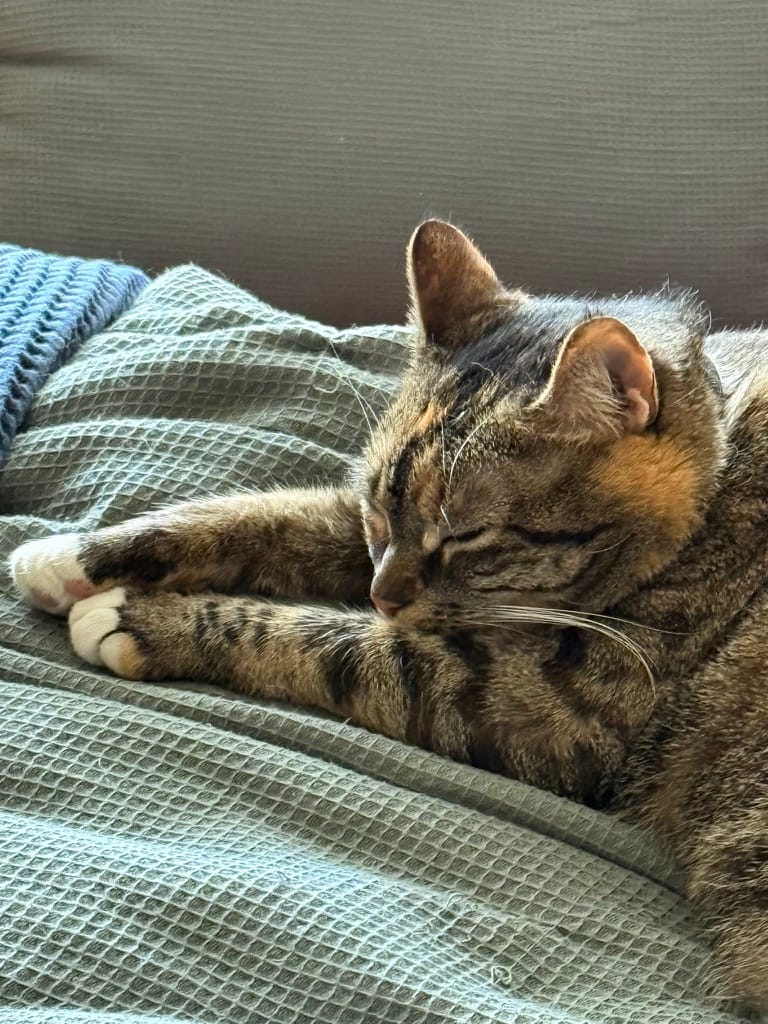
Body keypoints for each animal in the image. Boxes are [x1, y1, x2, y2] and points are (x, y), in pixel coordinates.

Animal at [10, 219, 768, 1013]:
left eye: (466, 536)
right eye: (381, 509)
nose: (381, 597)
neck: (720, 474)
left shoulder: (547, 707)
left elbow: (323, 641)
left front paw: (139, 618)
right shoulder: (356, 536)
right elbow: (269, 516)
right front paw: (73, 556)